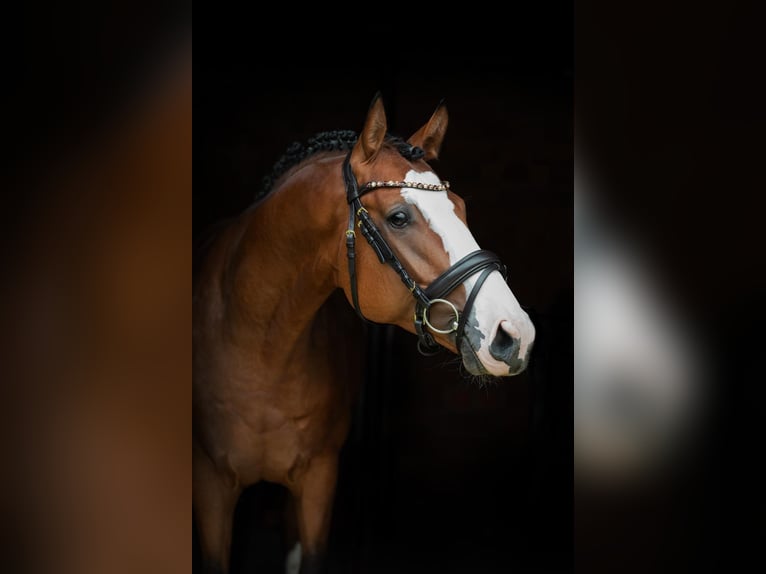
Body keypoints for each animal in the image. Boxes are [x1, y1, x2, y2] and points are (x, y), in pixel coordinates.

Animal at [195, 92, 536, 572]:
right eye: (398, 217)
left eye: (462, 208)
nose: (514, 335)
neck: (258, 347)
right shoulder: (210, 487)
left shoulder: (319, 480)